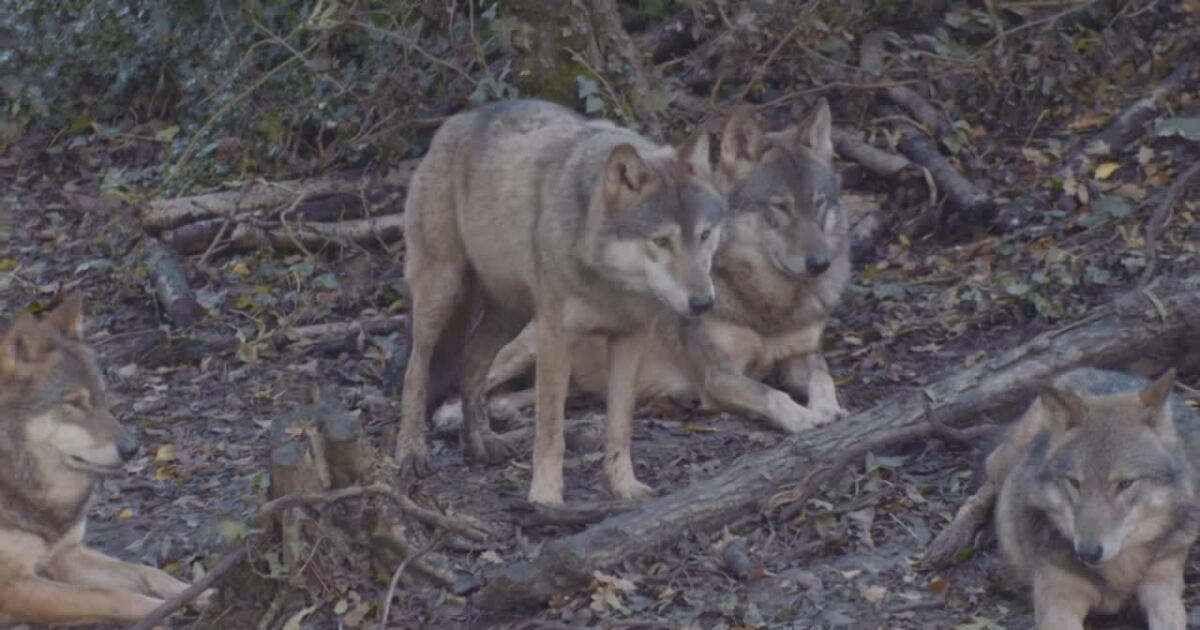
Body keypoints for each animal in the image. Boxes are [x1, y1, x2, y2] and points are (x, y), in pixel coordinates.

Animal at [0, 293, 203, 625]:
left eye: (102, 398)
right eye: (74, 403)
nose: (133, 449)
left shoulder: (65, 554)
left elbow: (144, 571)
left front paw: (195, 592)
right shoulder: (12, 587)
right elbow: (113, 595)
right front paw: (163, 613)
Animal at [396, 99, 724, 504]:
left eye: (705, 235)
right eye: (661, 241)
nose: (703, 302)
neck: (609, 284)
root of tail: (458, 119)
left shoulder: (631, 339)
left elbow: (619, 425)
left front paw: (623, 486)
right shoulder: (556, 337)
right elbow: (551, 429)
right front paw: (546, 497)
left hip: (511, 313)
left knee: (472, 361)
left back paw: (481, 442)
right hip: (442, 294)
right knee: (416, 371)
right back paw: (411, 454)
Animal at [434, 98, 849, 436]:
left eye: (819, 203)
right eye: (781, 207)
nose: (820, 263)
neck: (770, 305)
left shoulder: (802, 356)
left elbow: (824, 378)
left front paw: (829, 409)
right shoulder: (718, 377)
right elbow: (772, 394)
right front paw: (803, 416)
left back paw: (506, 408)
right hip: (531, 345)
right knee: (475, 375)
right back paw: (453, 414)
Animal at [991, 367, 1198, 630]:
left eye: (1125, 484)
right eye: (1075, 483)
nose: (1088, 553)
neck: (1120, 572)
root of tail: (1093, 370)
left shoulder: (1162, 588)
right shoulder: (1057, 601)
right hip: (1002, 462)